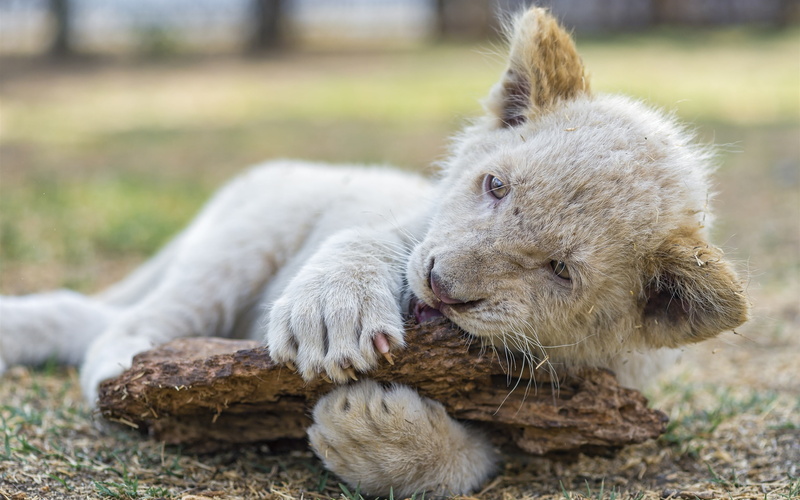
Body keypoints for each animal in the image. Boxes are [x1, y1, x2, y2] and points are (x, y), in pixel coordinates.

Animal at [0, 7, 749, 496]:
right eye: (495, 185)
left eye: (560, 270)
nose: (444, 285)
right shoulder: (409, 223)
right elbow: (369, 239)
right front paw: (334, 316)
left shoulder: (573, 423)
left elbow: (472, 463)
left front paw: (372, 432)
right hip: (239, 240)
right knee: (122, 325)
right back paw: (131, 374)